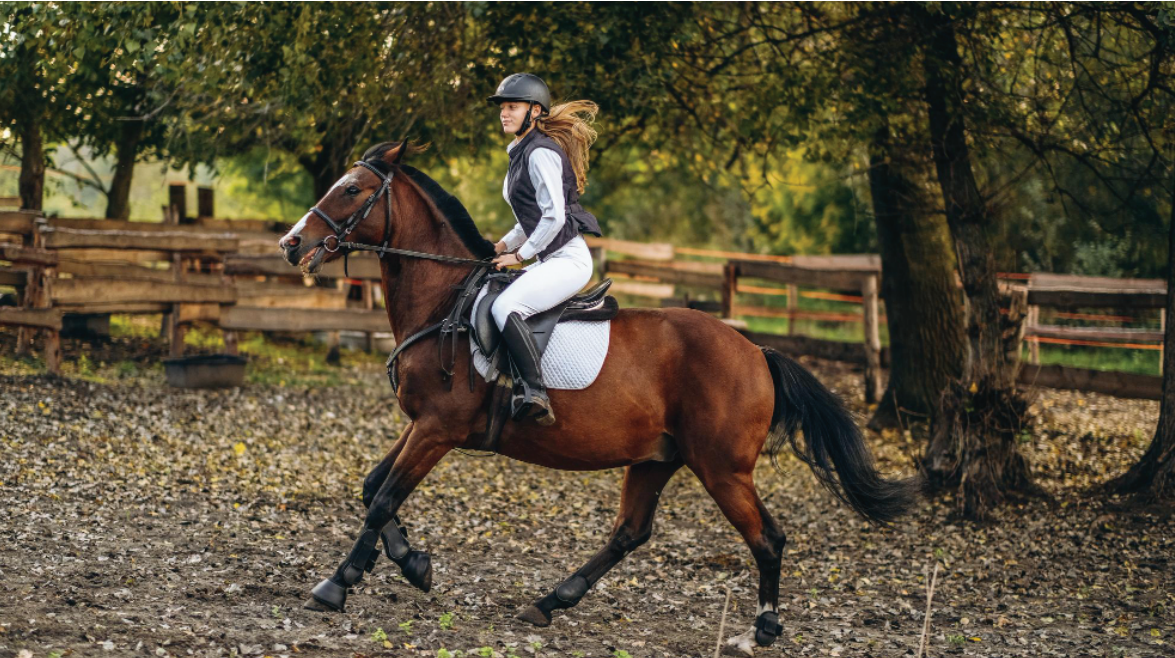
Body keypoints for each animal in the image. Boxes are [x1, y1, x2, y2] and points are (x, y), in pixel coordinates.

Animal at [277, 141, 919, 655]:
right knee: (630, 532)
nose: (290, 243)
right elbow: (371, 489)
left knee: (767, 538)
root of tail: (756, 351)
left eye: (352, 189)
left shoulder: (440, 429)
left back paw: (763, 628)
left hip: (722, 469)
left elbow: (383, 498)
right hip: (657, 458)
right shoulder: (422, 425)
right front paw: (413, 563)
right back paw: (549, 602)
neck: (444, 302)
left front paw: (336, 584)